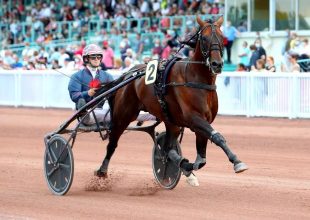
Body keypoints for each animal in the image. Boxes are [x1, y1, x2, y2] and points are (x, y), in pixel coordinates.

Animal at [94, 15, 247, 183]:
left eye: (222, 37)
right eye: (204, 38)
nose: (217, 64)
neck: (195, 77)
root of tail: (128, 74)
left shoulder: (201, 121)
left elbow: (201, 159)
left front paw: (188, 168)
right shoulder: (194, 118)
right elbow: (217, 137)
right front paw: (237, 162)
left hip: (169, 119)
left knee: (168, 148)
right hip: (123, 115)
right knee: (113, 143)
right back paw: (102, 170)